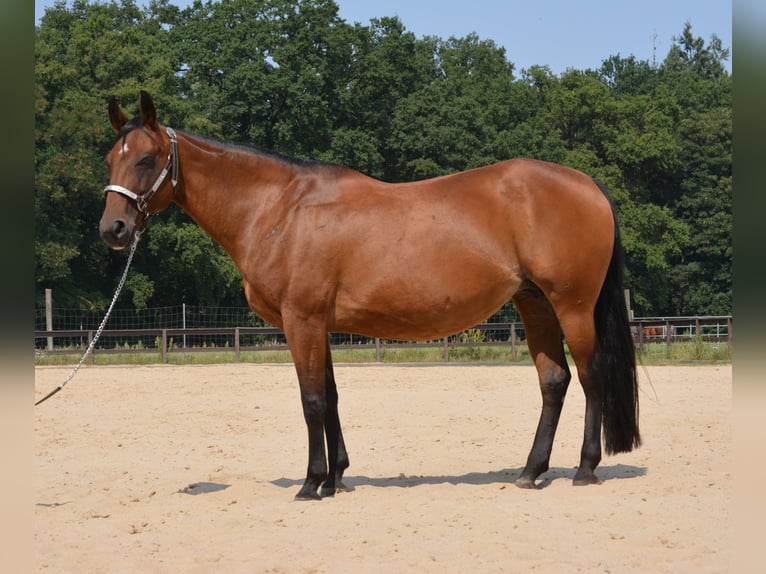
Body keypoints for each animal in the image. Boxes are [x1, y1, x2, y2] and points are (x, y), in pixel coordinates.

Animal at [99, 91, 640, 500]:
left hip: (572, 306)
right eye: (110, 159)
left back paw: (585, 468)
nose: (113, 229)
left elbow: (312, 399)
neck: (279, 210)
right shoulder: (319, 323)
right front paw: (336, 477)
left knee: (591, 376)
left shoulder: (301, 320)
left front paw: (311, 483)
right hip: (534, 304)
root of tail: (587, 183)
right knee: (554, 380)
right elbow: (332, 397)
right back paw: (530, 471)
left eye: (146, 159)